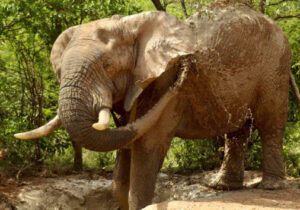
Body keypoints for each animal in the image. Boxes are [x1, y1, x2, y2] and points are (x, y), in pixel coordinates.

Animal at [14, 3, 300, 210]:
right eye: (60, 72)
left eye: (107, 66)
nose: (187, 67)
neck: (129, 26)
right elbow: (125, 141)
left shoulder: (163, 80)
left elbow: (148, 142)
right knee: (238, 129)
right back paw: (221, 187)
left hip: (275, 65)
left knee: (269, 123)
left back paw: (270, 186)